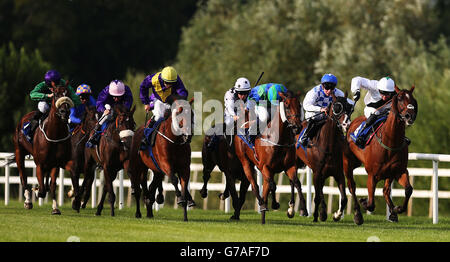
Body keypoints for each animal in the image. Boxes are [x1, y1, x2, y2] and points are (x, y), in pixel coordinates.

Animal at [12, 82, 74, 215]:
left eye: (68, 94)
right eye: (55, 94)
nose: (64, 111)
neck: (54, 133)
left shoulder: (56, 163)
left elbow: (52, 185)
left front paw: (55, 208)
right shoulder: (39, 163)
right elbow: (40, 189)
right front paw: (36, 191)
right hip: (19, 152)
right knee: (23, 177)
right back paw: (28, 201)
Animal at [234, 91, 308, 224]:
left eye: (299, 105)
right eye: (287, 105)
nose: (297, 127)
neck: (278, 138)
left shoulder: (289, 166)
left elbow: (297, 183)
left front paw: (302, 209)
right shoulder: (265, 167)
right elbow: (272, 185)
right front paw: (272, 204)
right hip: (245, 162)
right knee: (255, 186)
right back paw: (262, 204)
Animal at [296, 93, 358, 223]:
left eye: (350, 108)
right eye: (337, 107)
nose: (346, 124)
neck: (329, 146)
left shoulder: (338, 172)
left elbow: (343, 199)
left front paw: (336, 215)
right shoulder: (317, 172)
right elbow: (317, 197)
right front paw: (317, 216)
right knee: (296, 183)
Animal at [342, 85, 416, 222]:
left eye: (413, 99)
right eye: (399, 98)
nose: (410, 116)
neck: (391, 142)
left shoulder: (399, 171)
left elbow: (408, 189)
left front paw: (397, 209)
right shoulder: (372, 175)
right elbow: (371, 204)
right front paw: (364, 202)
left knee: (386, 191)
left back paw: (392, 213)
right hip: (348, 162)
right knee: (352, 186)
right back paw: (358, 214)